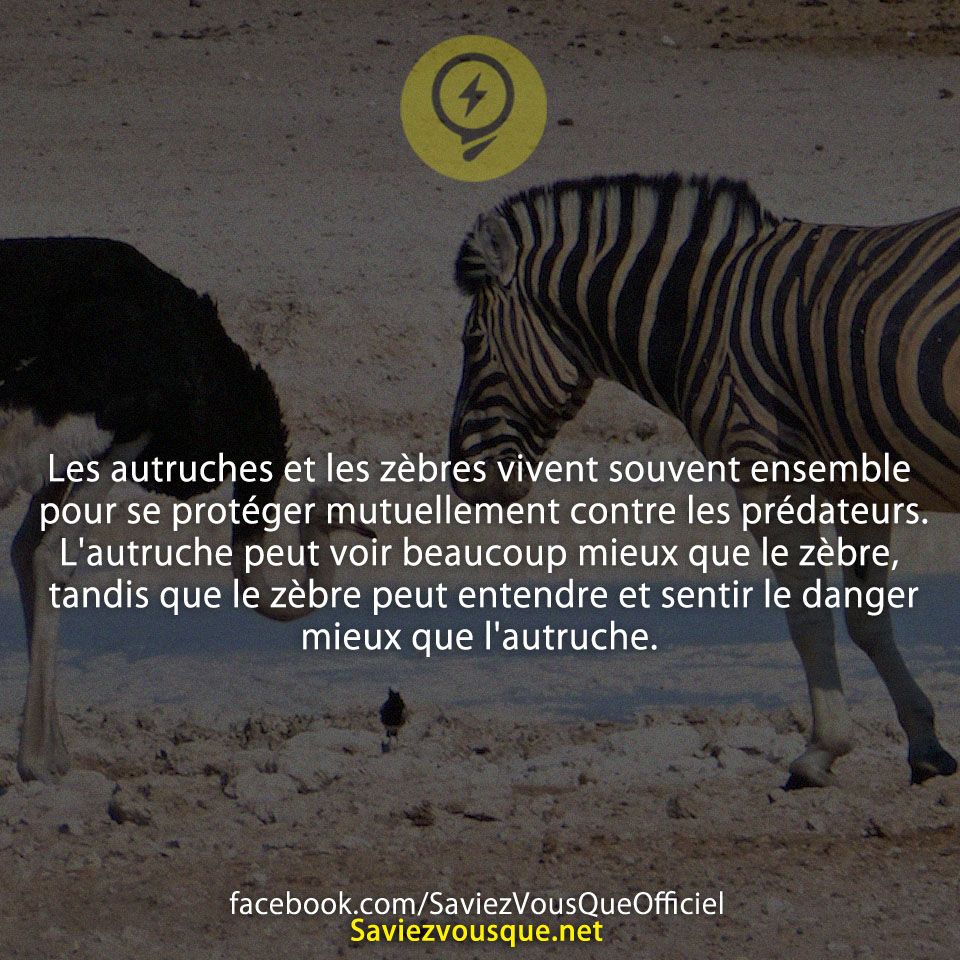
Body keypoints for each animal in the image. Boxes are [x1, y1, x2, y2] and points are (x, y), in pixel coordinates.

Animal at [448, 172, 960, 789]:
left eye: (472, 344)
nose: (460, 478)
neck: (701, 314)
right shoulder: (858, 483)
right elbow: (868, 620)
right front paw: (925, 744)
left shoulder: (765, 469)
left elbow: (808, 618)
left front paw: (820, 750)